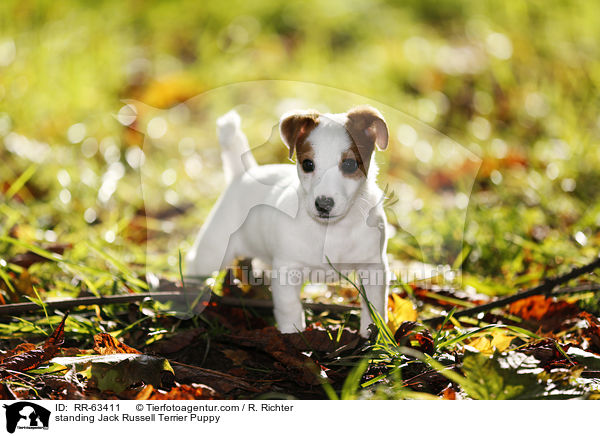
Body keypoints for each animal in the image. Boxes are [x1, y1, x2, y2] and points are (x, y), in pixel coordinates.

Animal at [188, 105, 394, 338]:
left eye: (350, 164)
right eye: (308, 164)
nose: (323, 204)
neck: (332, 230)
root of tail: (244, 173)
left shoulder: (372, 267)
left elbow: (374, 305)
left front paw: (375, 335)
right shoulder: (287, 271)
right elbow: (289, 307)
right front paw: (293, 335)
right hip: (213, 253)